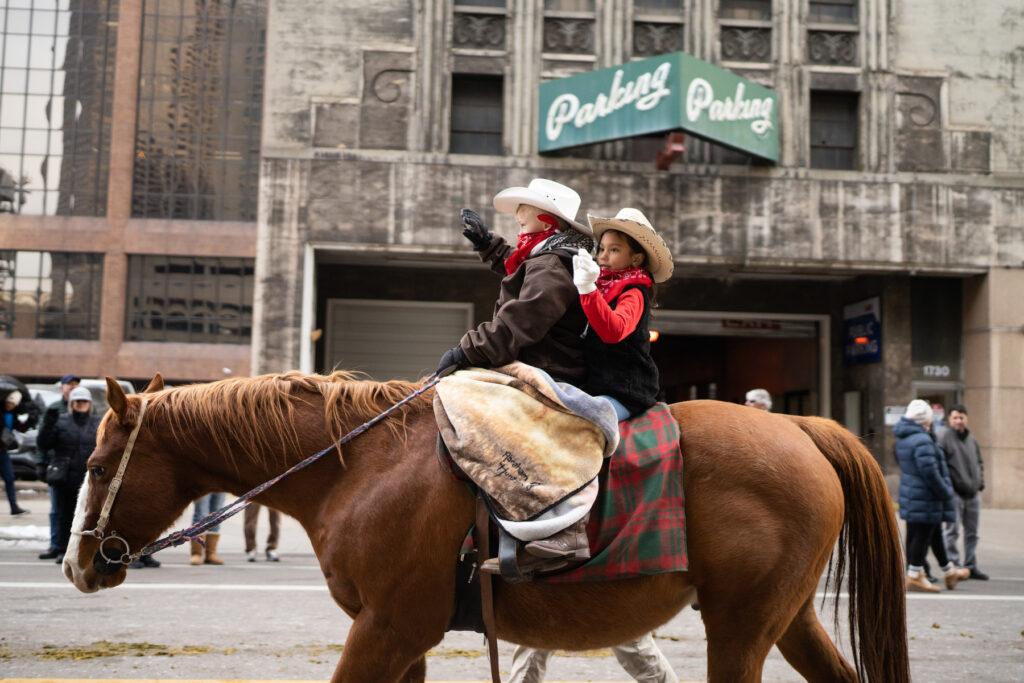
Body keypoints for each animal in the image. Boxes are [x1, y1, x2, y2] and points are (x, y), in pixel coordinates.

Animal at [64, 374, 909, 683]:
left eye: (99, 465)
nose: (79, 564)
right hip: (784, 617)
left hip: (741, 627)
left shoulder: (387, 627)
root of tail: (802, 427)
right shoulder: (400, 637)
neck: (362, 464)